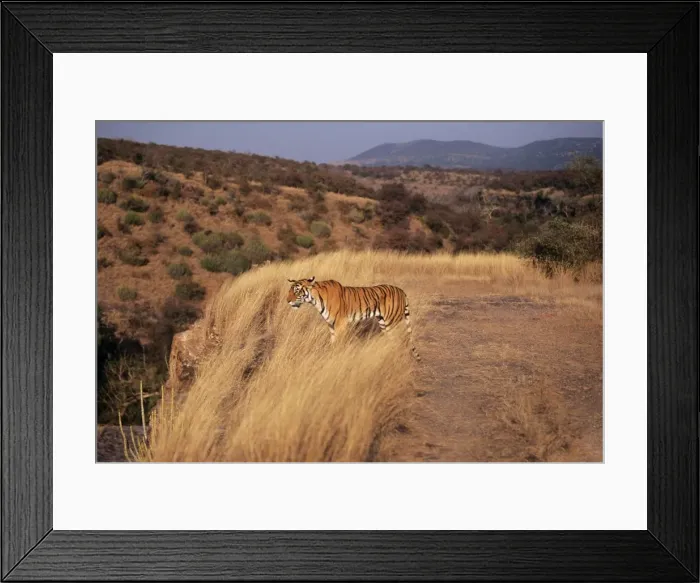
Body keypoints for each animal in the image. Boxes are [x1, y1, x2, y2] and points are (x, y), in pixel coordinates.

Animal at [286, 276, 420, 360]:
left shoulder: (340, 324)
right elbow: (332, 342)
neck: (315, 299)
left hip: (391, 323)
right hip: (383, 323)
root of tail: (402, 291)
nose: (287, 301)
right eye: (289, 291)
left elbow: (340, 343)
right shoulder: (331, 325)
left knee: (400, 342)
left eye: (297, 290)